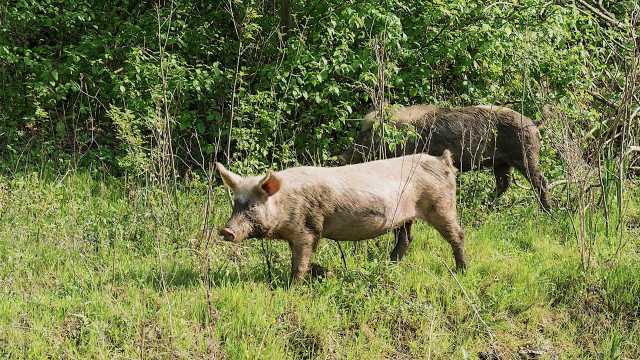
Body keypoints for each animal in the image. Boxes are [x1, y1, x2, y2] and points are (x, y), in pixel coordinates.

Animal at [216, 150, 464, 282]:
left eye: (252, 206)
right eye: (235, 204)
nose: (225, 230)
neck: (284, 204)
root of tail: (443, 161)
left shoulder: (308, 229)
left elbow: (300, 261)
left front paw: (292, 285)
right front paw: (320, 272)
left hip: (442, 205)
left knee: (458, 235)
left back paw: (461, 270)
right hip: (405, 217)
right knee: (406, 239)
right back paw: (390, 265)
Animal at [338, 104, 552, 211]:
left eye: (366, 134)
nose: (341, 158)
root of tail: (533, 123)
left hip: (525, 155)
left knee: (540, 181)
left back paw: (547, 211)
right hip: (501, 163)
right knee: (503, 184)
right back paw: (486, 206)